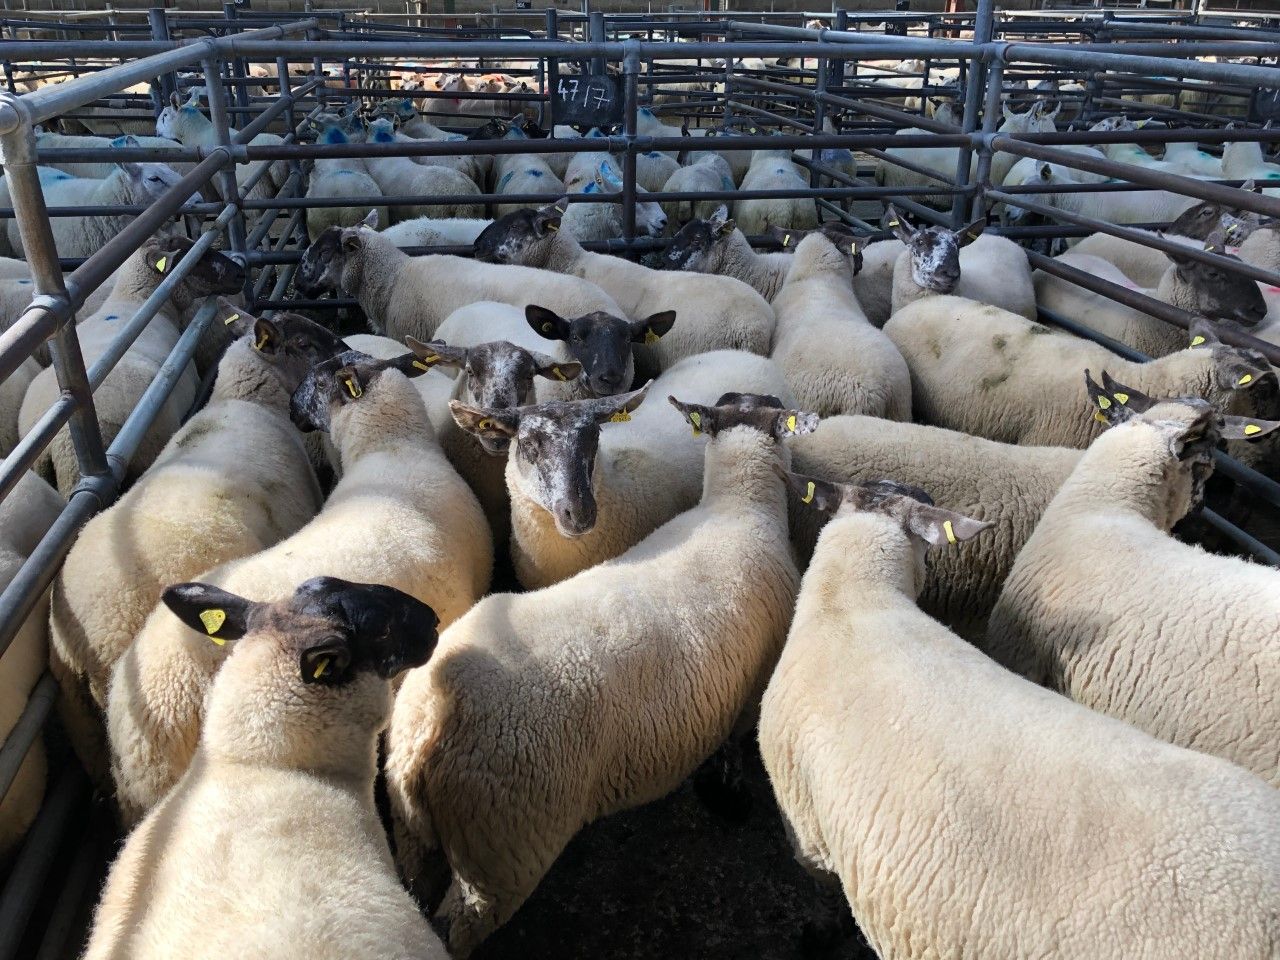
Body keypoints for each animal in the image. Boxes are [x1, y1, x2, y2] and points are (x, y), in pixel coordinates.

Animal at [387, 394, 809, 957]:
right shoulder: (750, 692)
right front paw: (729, 790)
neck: (739, 508)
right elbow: (732, 749)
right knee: (459, 926)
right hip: (502, 850)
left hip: (414, 833)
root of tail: (428, 720)